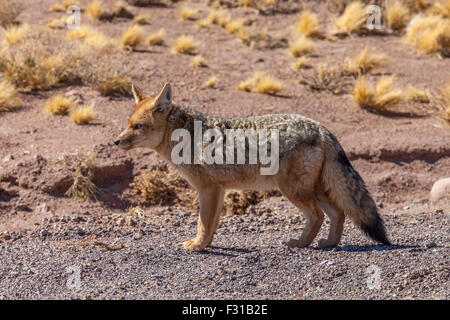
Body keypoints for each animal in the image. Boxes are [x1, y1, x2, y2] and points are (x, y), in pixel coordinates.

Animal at [115, 82, 390, 250]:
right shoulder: (219, 190)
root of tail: (322, 128)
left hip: (294, 191)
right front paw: (207, 244)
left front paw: (198, 246)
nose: (116, 141)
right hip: (316, 189)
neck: (186, 136)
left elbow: (203, 223)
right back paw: (329, 243)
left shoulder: (208, 189)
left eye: (137, 126)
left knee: (318, 216)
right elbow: (212, 224)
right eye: (127, 124)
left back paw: (300, 244)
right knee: (339, 213)